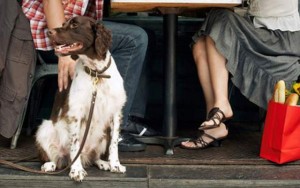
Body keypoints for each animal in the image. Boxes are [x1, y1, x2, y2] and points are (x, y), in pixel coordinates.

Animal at [35, 16, 126, 182]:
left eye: (74, 25)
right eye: (63, 24)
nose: (49, 32)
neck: (96, 73)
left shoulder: (116, 112)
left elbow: (114, 143)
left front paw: (115, 164)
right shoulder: (75, 113)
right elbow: (75, 144)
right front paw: (76, 170)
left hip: (103, 136)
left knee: (94, 157)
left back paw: (103, 163)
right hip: (45, 128)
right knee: (55, 157)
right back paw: (49, 165)